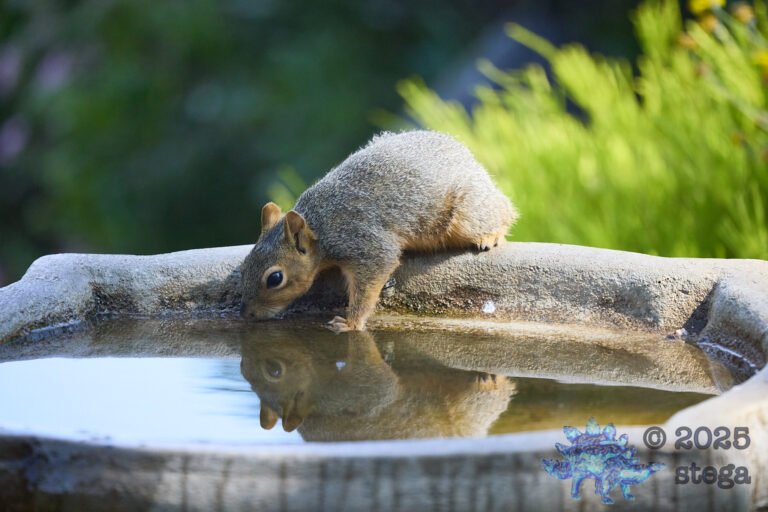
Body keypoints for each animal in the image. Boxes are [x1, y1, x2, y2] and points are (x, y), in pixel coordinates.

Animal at [240, 130, 517, 332]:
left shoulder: (364, 243)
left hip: (466, 215)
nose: (247, 314)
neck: (320, 227)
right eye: (243, 267)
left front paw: (350, 323)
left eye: (275, 279)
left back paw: (490, 236)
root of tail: (472, 163)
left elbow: (370, 280)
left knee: (501, 213)